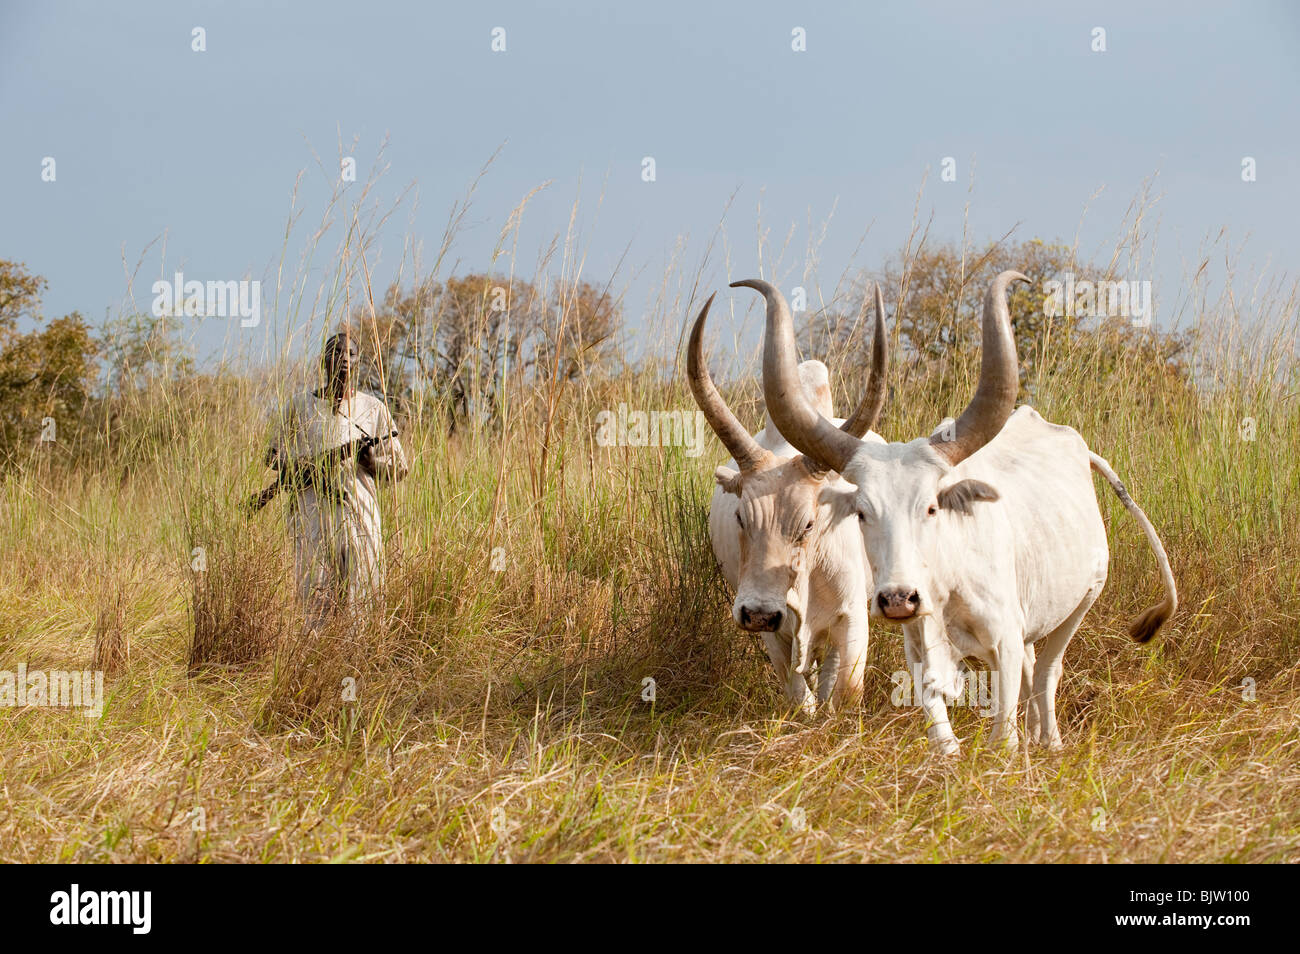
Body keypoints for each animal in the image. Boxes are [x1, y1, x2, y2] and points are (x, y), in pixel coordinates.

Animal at [691, 291, 883, 717]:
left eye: (809, 524)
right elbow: (798, 695)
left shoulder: (852, 620)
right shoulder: (770, 632)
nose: (760, 612)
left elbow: (844, 691)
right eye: (741, 517)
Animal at [743, 272, 1180, 748]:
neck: (947, 579)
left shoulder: (1004, 639)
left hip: (1083, 597)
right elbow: (944, 740)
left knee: (1047, 673)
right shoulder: (919, 647)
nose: (898, 598)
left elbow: (1003, 732)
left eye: (932, 507)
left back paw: (1049, 742)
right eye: (862, 513)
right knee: (1034, 670)